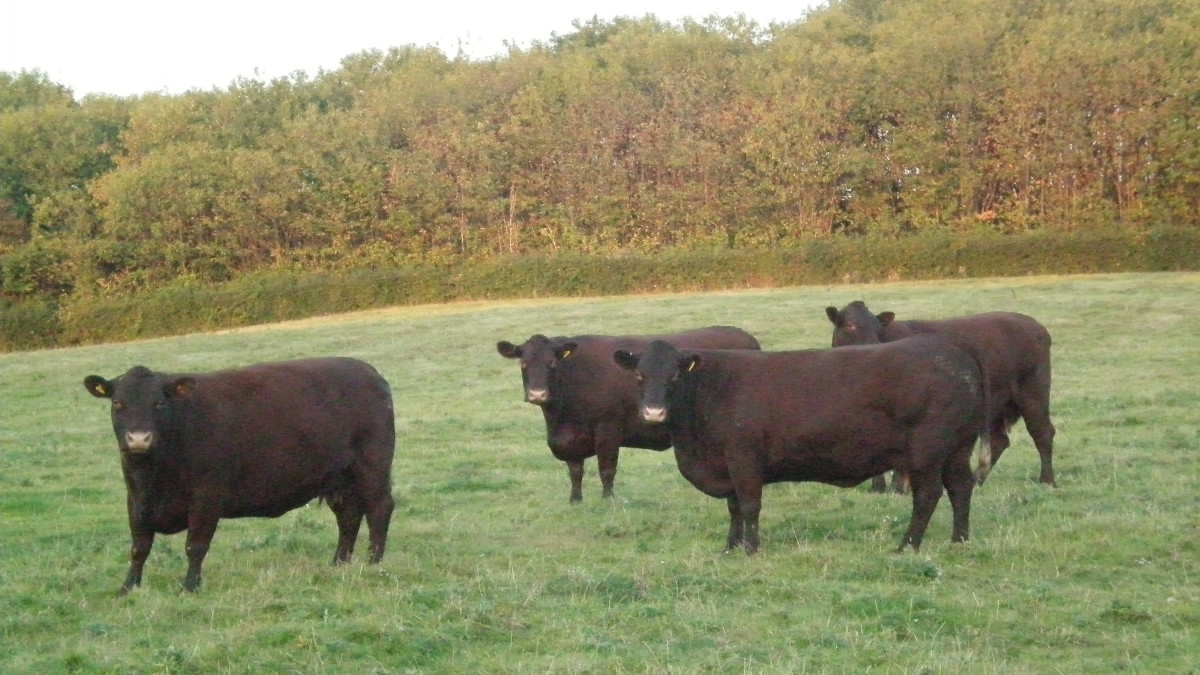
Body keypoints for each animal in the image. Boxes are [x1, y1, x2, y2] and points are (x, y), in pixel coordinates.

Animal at [81, 355, 398, 590]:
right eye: (117, 403)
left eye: (159, 403)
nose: (138, 438)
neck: (152, 477)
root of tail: (369, 371)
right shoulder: (135, 501)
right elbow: (139, 547)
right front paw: (128, 587)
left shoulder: (206, 498)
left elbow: (195, 546)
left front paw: (190, 586)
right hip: (339, 478)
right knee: (349, 517)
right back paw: (338, 563)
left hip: (372, 466)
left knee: (379, 509)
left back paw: (374, 562)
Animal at [494, 324, 758, 502]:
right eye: (523, 363)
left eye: (552, 363)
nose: (537, 394)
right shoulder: (570, 438)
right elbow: (575, 472)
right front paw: (575, 501)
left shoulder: (608, 428)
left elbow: (607, 469)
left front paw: (607, 501)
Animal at [614, 336, 988, 552]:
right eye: (639, 375)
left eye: (675, 375)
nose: (653, 411)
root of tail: (957, 356)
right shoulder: (728, 463)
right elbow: (734, 507)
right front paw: (730, 547)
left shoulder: (744, 458)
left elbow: (749, 505)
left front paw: (751, 548)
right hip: (958, 447)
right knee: (960, 486)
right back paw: (960, 540)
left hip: (927, 450)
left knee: (928, 495)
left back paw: (906, 546)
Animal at [825, 302, 1060, 485]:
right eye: (849, 325)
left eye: (878, 327)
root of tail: (1035, 325)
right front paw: (879, 488)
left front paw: (897, 489)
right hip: (995, 404)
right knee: (998, 441)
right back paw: (977, 480)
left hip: (1034, 393)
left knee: (1042, 432)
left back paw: (1047, 480)